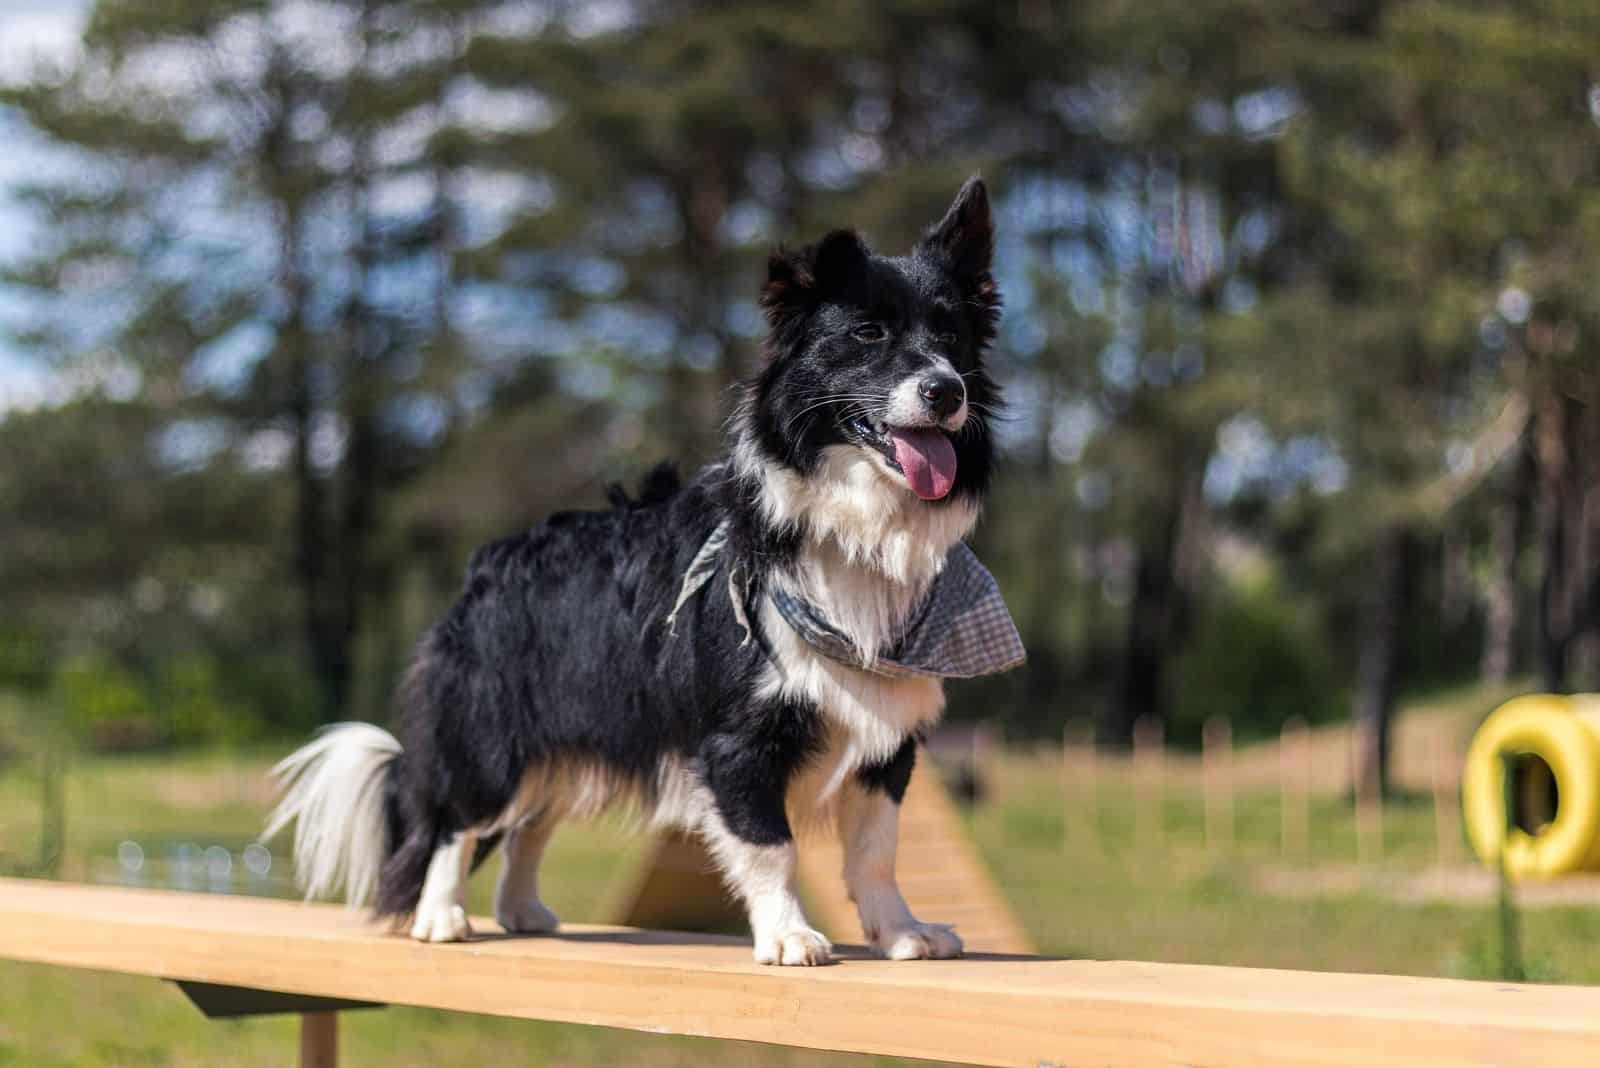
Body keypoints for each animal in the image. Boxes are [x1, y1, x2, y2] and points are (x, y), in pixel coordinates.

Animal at [265, 177, 1024, 965]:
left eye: (951, 337)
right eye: (869, 335)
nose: (946, 391)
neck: (853, 527)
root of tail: (488, 564)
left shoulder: (887, 738)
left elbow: (877, 851)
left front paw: (902, 932)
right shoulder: (737, 740)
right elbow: (771, 845)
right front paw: (789, 935)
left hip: (571, 731)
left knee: (530, 823)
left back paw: (523, 912)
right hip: (491, 730)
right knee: (457, 816)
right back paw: (441, 916)